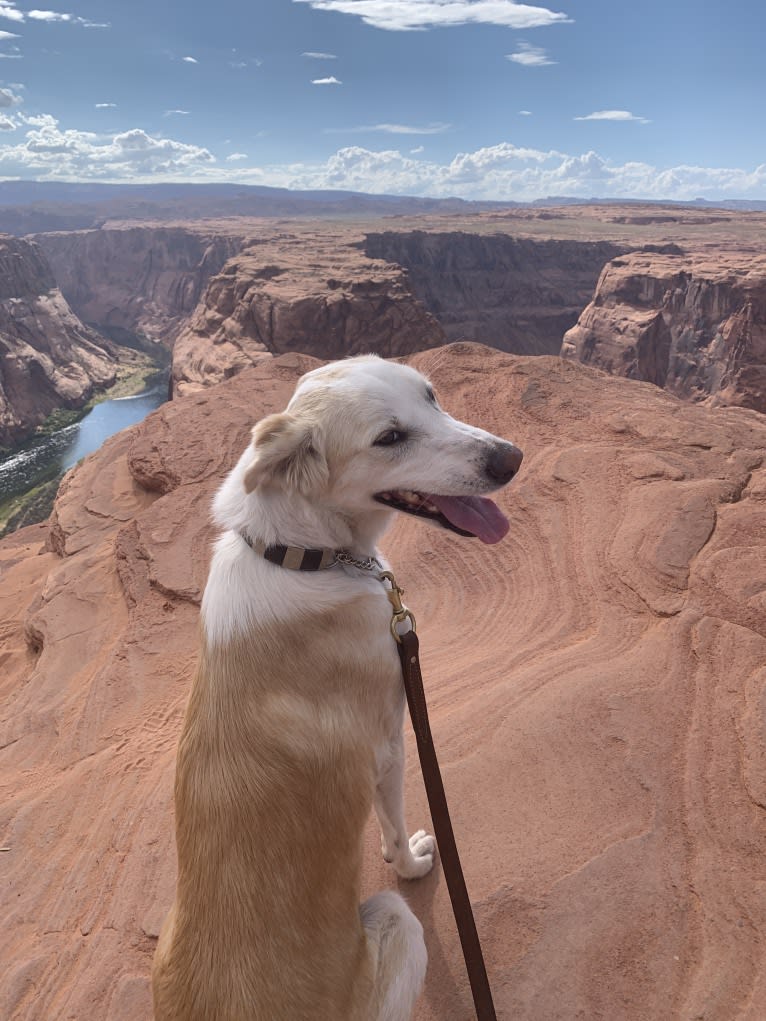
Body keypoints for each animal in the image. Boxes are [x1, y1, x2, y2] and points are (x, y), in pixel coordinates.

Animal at [151, 355, 522, 1016]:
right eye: (390, 438)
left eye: (432, 395)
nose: (512, 458)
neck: (300, 552)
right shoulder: (390, 747)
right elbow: (394, 829)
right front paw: (413, 860)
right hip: (398, 924)